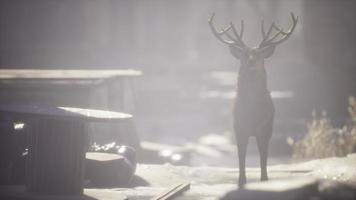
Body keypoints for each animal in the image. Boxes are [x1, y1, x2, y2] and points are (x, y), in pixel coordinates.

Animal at [209, 13, 298, 187]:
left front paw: (264, 179)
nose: (251, 61)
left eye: (259, 54)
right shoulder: (238, 128)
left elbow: (263, 157)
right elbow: (241, 157)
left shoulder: (266, 129)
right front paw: (241, 181)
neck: (252, 114)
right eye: (244, 53)